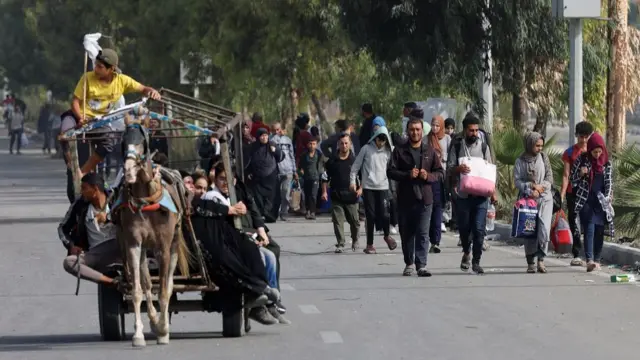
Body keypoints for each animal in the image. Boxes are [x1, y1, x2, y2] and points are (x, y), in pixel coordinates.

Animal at [114, 114, 191, 346]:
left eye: (141, 141)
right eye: (123, 141)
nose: (128, 171)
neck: (146, 200)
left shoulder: (163, 247)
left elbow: (164, 290)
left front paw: (164, 331)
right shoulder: (133, 243)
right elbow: (138, 290)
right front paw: (139, 334)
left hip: (174, 242)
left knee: (170, 283)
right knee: (148, 283)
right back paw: (154, 320)